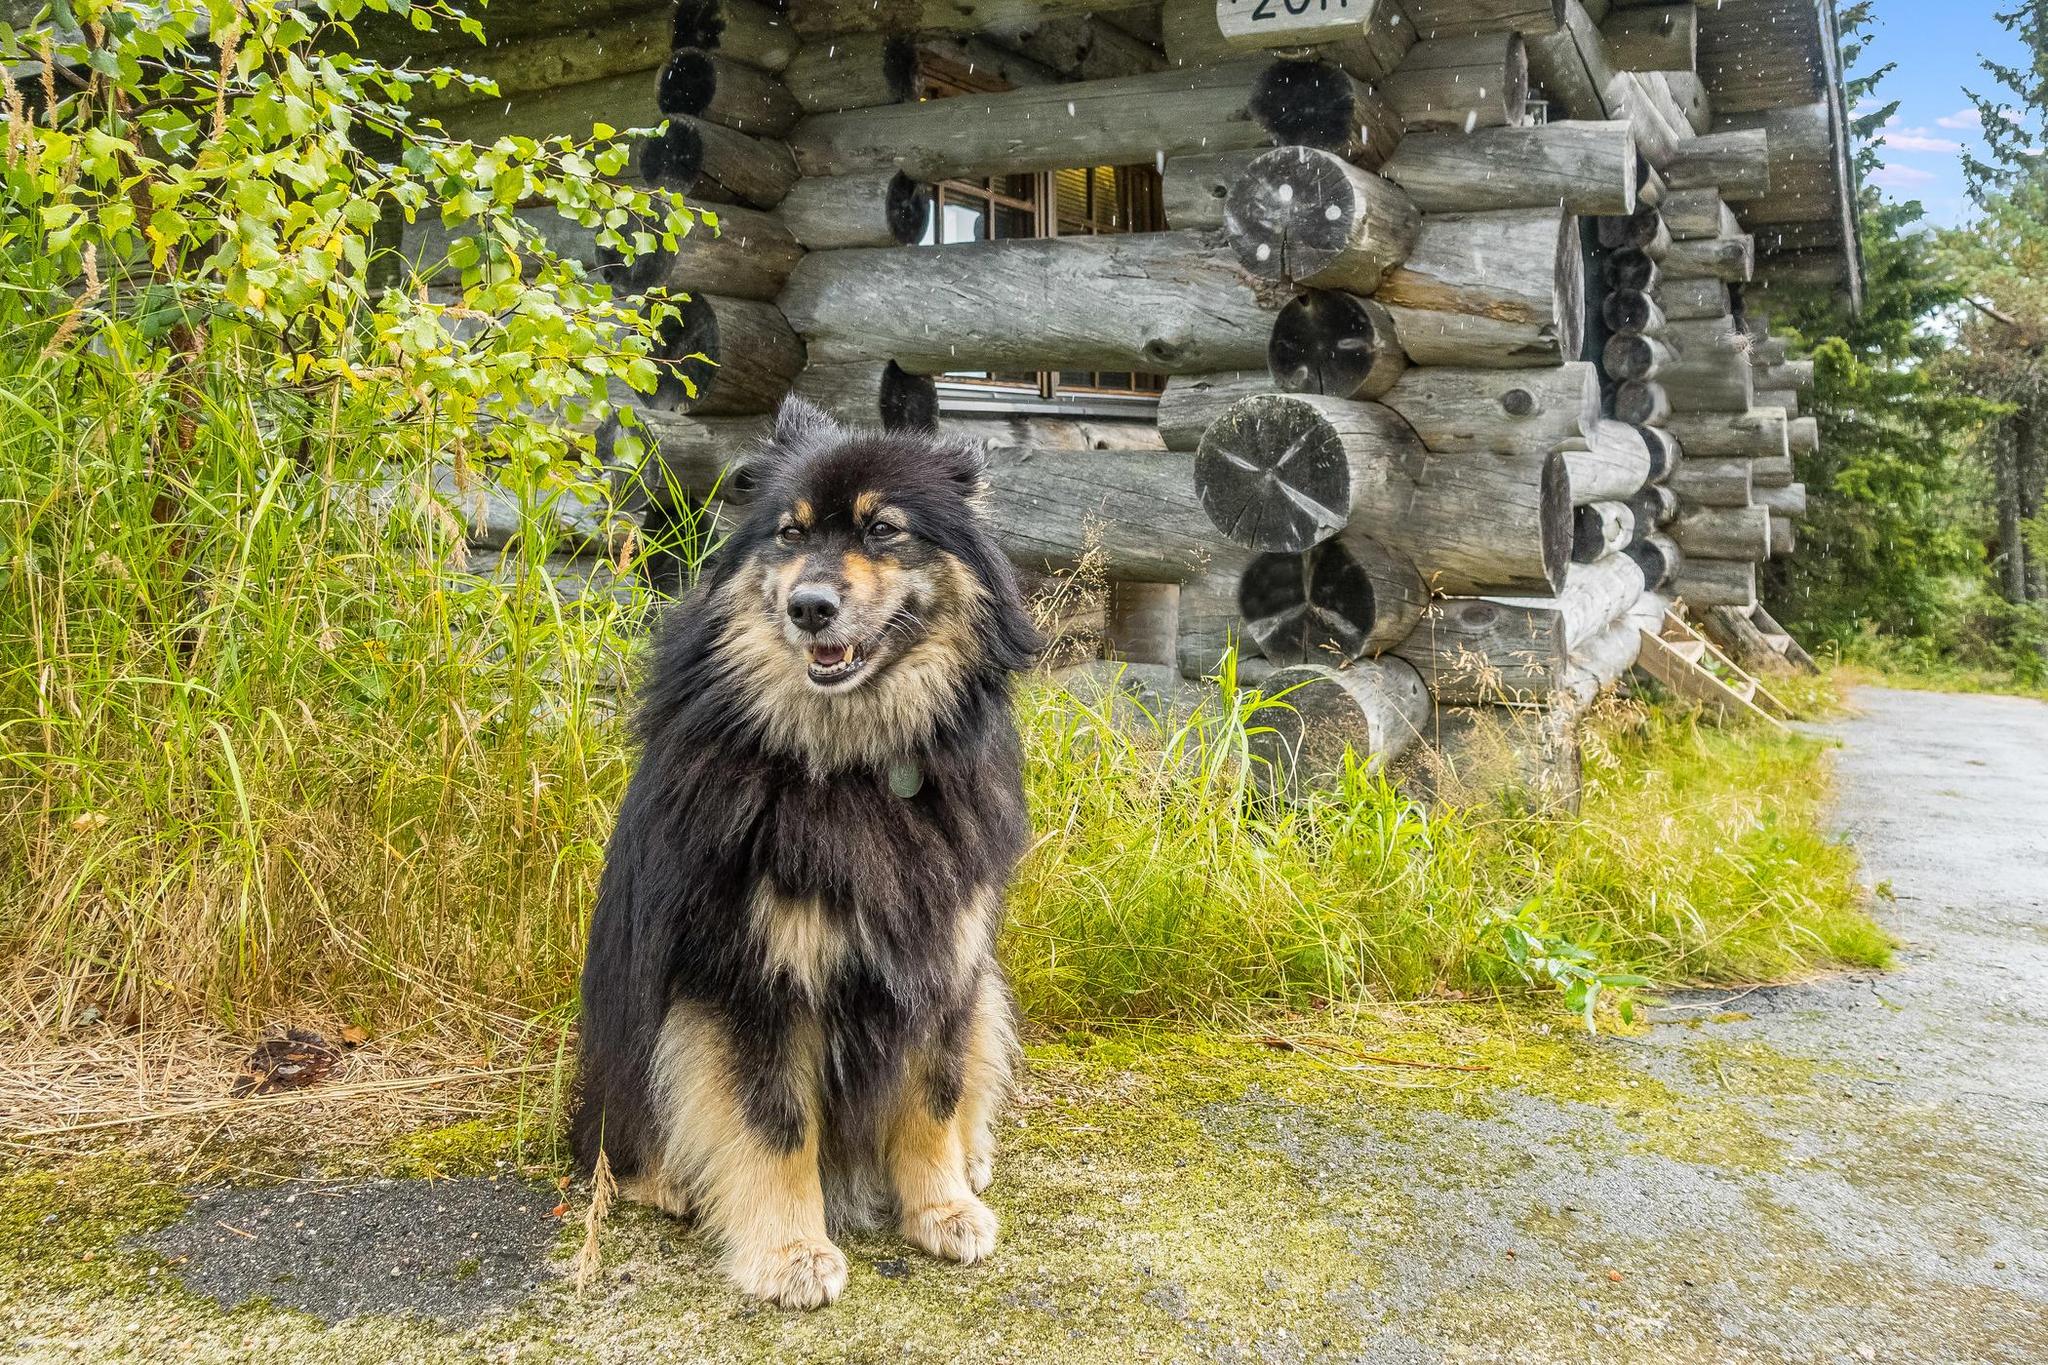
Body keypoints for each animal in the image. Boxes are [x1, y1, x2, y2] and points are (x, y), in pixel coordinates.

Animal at [573, 394, 1040, 1309]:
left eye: (884, 528)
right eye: (789, 534)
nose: (810, 606)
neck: (854, 765)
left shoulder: (944, 959)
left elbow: (933, 1096)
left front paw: (940, 1208)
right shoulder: (752, 977)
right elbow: (775, 1124)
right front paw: (791, 1251)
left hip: (987, 992)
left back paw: (973, 1161)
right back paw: (671, 1180)